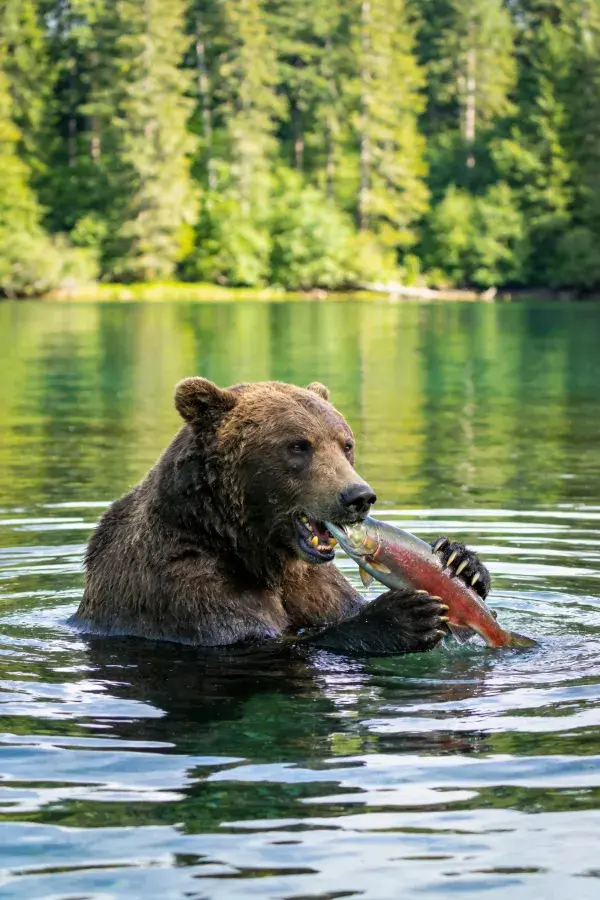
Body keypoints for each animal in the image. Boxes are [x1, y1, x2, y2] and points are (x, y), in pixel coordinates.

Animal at [72, 378, 491, 655]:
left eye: (346, 443)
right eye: (298, 446)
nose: (358, 496)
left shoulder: (314, 582)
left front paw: (462, 562)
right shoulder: (181, 583)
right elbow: (257, 643)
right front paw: (404, 616)